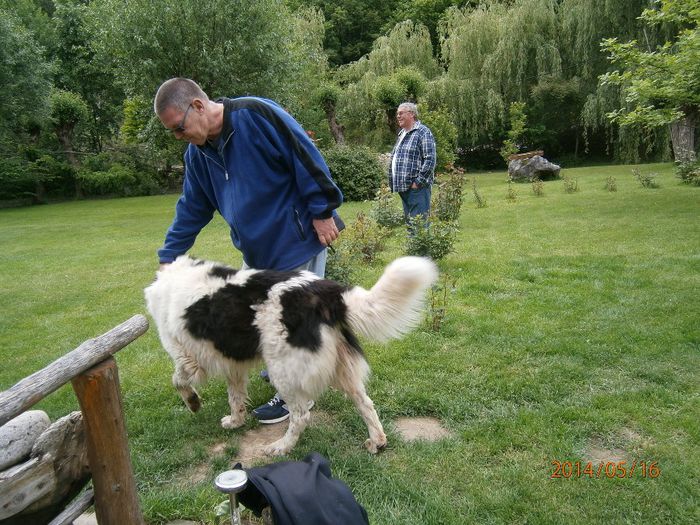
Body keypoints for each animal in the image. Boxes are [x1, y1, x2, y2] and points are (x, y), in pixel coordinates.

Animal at [144, 255, 438, 454]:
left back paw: (281, 447)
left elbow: (178, 381)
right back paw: (377, 441)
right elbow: (235, 396)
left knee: (301, 416)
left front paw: (193, 403)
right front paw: (236, 420)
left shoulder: (185, 357)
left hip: (284, 370)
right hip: (342, 369)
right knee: (366, 403)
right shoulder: (233, 365)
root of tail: (325, 291)